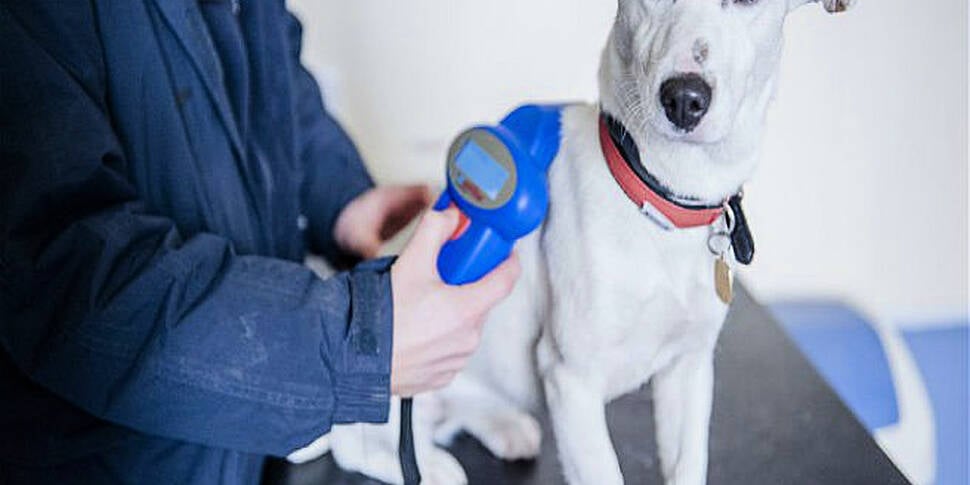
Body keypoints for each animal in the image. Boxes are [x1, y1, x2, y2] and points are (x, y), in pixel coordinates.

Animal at [314, 0, 852, 484]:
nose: (683, 98)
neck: (660, 204)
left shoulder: (690, 367)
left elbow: (687, 464)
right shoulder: (571, 379)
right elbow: (601, 470)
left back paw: (505, 427)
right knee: (357, 448)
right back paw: (432, 468)